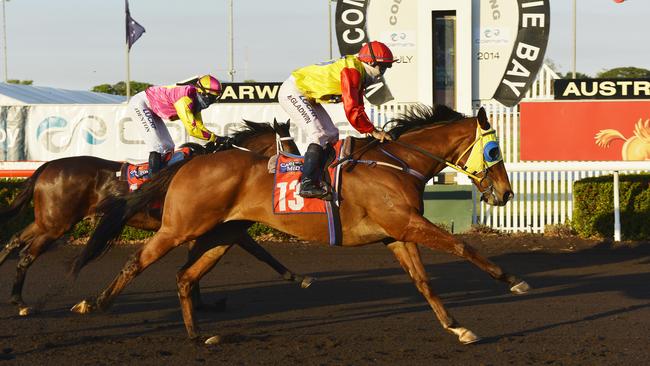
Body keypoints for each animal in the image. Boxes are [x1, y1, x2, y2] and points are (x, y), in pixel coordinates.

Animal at [0, 120, 308, 314]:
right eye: (290, 148)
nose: (301, 170)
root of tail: (47, 166)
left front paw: (200, 303)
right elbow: (260, 252)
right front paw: (298, 277)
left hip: (47, 221)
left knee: (14, 240)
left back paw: (14, 297)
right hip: (58, 224)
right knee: (26, 254)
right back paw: (21, 302)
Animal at [72, 104, 528, 344]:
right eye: (493, 151)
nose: (505, 193)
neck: (398, 163)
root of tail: (190, 161)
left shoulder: (397, 233)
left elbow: (423, 281)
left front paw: (456, 326)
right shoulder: (406, 223)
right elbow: (462, 247)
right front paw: (513, 280)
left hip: (222, 234)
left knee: (186, 276)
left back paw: (199, 335)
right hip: (180, 228)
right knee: (137, 263)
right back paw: (93, 303)